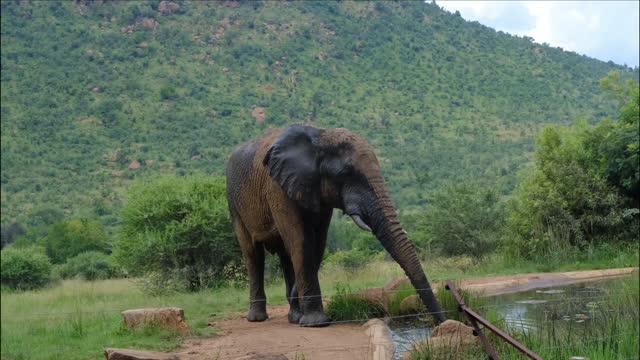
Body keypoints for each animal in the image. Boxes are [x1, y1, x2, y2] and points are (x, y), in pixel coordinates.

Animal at [226, 125, 444, 328]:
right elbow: (301, 240)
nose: (442, 321)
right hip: (234, 202)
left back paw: (294, 317)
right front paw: (316, 323)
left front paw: (305, 318)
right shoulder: (277, 188)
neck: (320, 135)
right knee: (253, 253)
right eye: (346, 173)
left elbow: (319, 242)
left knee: (285, 255)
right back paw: (257, 318)